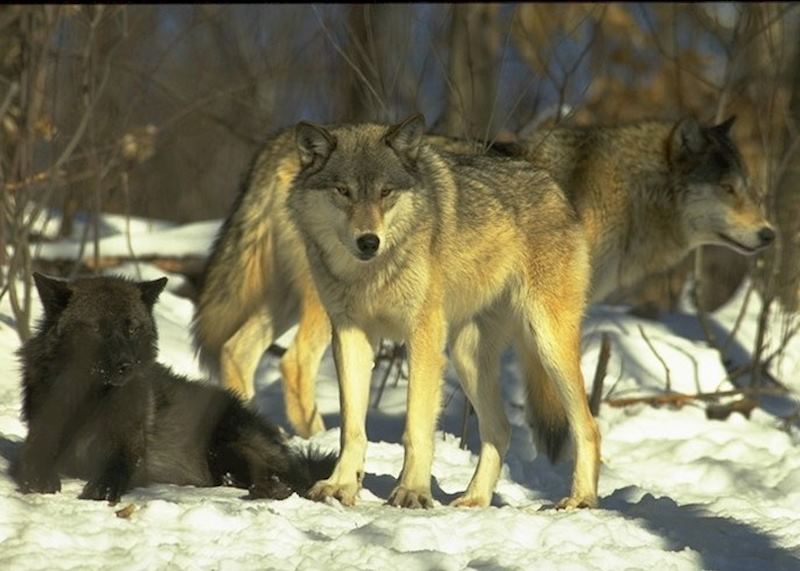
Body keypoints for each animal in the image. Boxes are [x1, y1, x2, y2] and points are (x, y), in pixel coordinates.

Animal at [11, 273, 333, 503]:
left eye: (131, 328)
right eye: (98, 328)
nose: (126, 365)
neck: (94, 398)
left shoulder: (128, 447)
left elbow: (118, 467)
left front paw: (102, 488)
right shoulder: (41, 434)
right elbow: (31, 460)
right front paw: (39, 481)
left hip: (221, 437)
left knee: (277, 476)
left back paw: (270, 488)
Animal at [287, 114, 597, 509]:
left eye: (386, 192)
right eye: (343, 191)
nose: (369, 241)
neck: (369, 274)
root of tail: (554, 187)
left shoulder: (423, 335)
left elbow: (416, 427)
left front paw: (412, 492)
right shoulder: (349, 334)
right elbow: (352, 429)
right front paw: (340, 486)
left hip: (547, 343)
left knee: (588, 427)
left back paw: (580, 499)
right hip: (467, 356)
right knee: (500, 430)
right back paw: (474, 499)